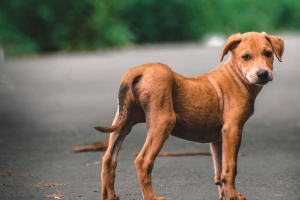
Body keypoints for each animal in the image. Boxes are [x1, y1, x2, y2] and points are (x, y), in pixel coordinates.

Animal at [95, 32, 284, 199]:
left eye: (268, 53)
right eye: (246, 57)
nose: (262, 74)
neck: (237, 77)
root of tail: (137, 71)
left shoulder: (218, 139)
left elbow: (219, 171)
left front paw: (225, 196)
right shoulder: (233, 130)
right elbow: (230, 167)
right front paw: (234, 196)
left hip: (123, 123)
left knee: (108, 159)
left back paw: (109, 196)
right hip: (163, 122)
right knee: (143, 161)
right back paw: (152, 197)